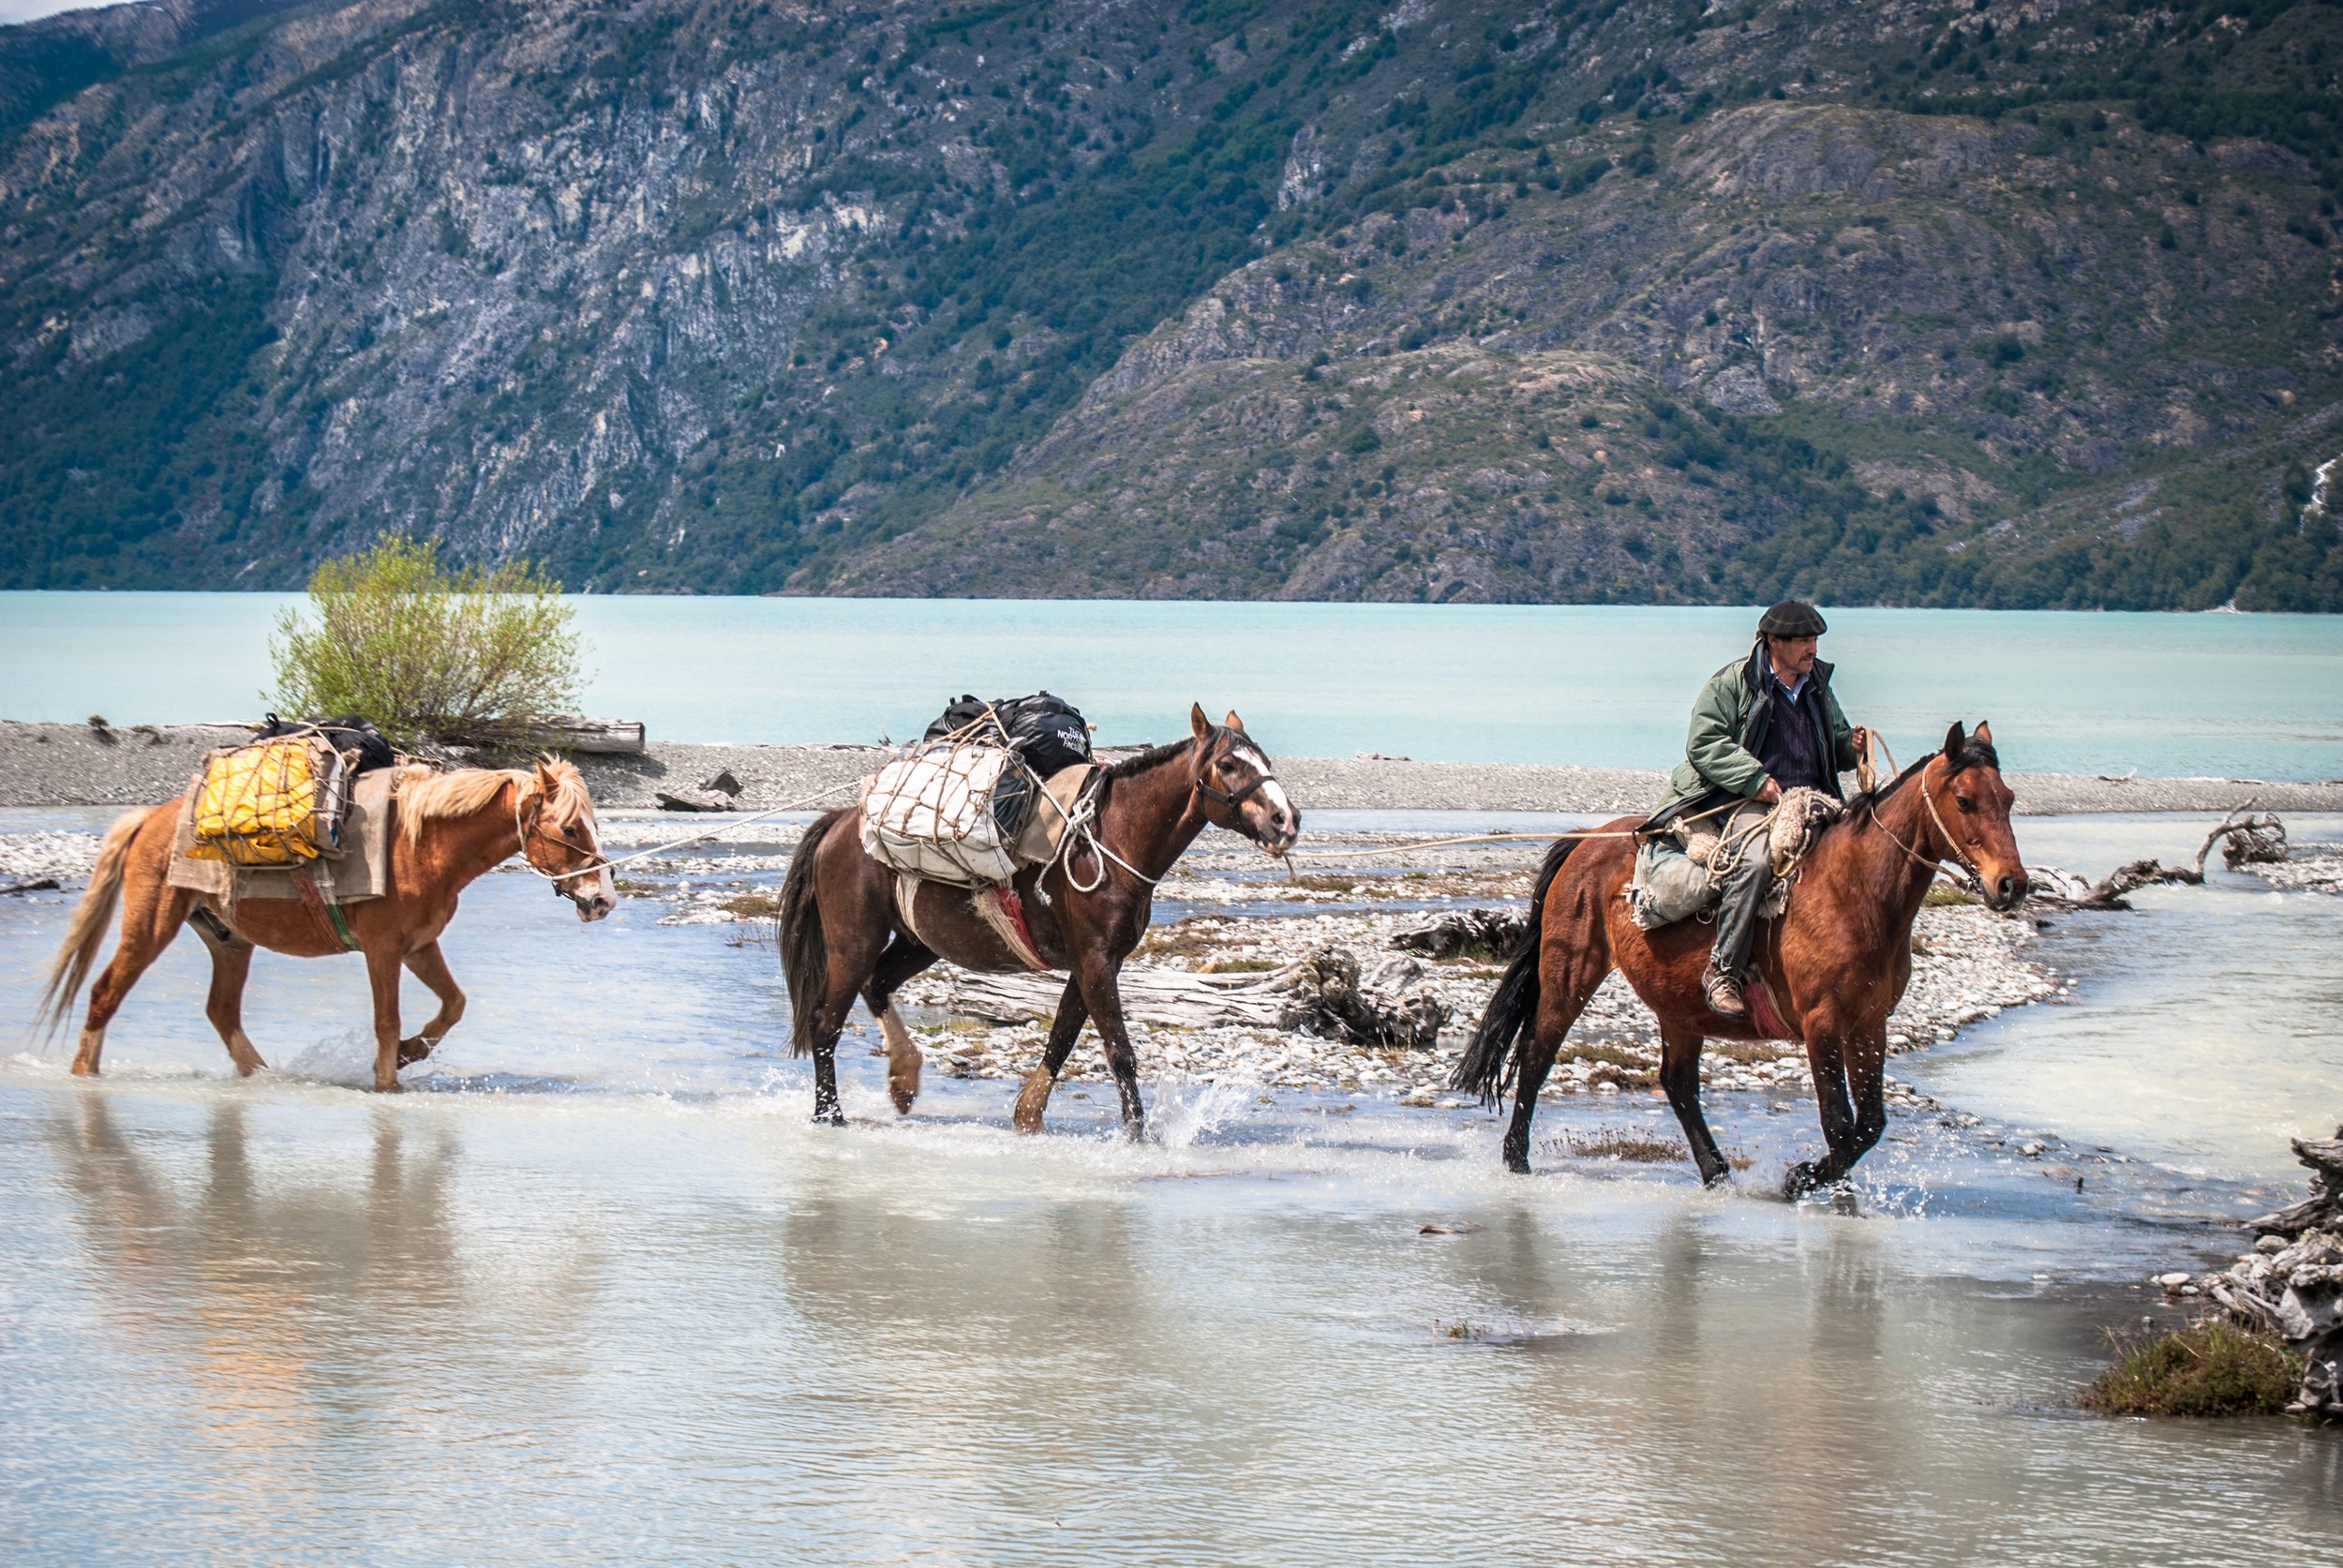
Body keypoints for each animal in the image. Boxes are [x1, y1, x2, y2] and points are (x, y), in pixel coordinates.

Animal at [39, 759, 614, 1087]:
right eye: (569, 828)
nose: (602, 899)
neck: (419, 847)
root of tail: (152, 819)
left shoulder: (419, 947)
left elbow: (453, 1005)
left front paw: (408, 1057)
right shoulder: (383, 949)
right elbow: (387, 1021)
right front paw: (388, 1081)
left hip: (229, 941)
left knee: (221, 1011)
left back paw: (265, 1078)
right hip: (150, 927)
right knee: (105, 993)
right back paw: (84, 1077)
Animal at [783, 703, 1303, 1129]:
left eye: (1266, 761)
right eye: (1229, 764)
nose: (1287, 820)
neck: (1109, 841)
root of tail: (842, 823)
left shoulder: (1097, 964)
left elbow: (1062, 1037)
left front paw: (1028, 1116)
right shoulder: (1094, 962)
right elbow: (1119, 1052)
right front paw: (1138, 1136)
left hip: (920, 942)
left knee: (877, 986)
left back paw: (903, 1081)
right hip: (853, 943)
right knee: (826, 1023)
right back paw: (830, 1114)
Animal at [1453, 726, 2024, 1200]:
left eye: (2009, 798)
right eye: (1965, 800)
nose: (2011, 885)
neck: (1856, 893)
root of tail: (1585, 844)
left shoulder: (1869, 1025)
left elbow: (1869, 1126)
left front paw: (1810, 1179)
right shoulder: (1822, 1024)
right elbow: (1840, 1125)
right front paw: (1798, 1180)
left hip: (1679, 1006)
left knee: (1678, 1084)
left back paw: (1717, 1172)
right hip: (1569, 975)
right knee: (1536, 1056)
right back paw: (1517, 1160)